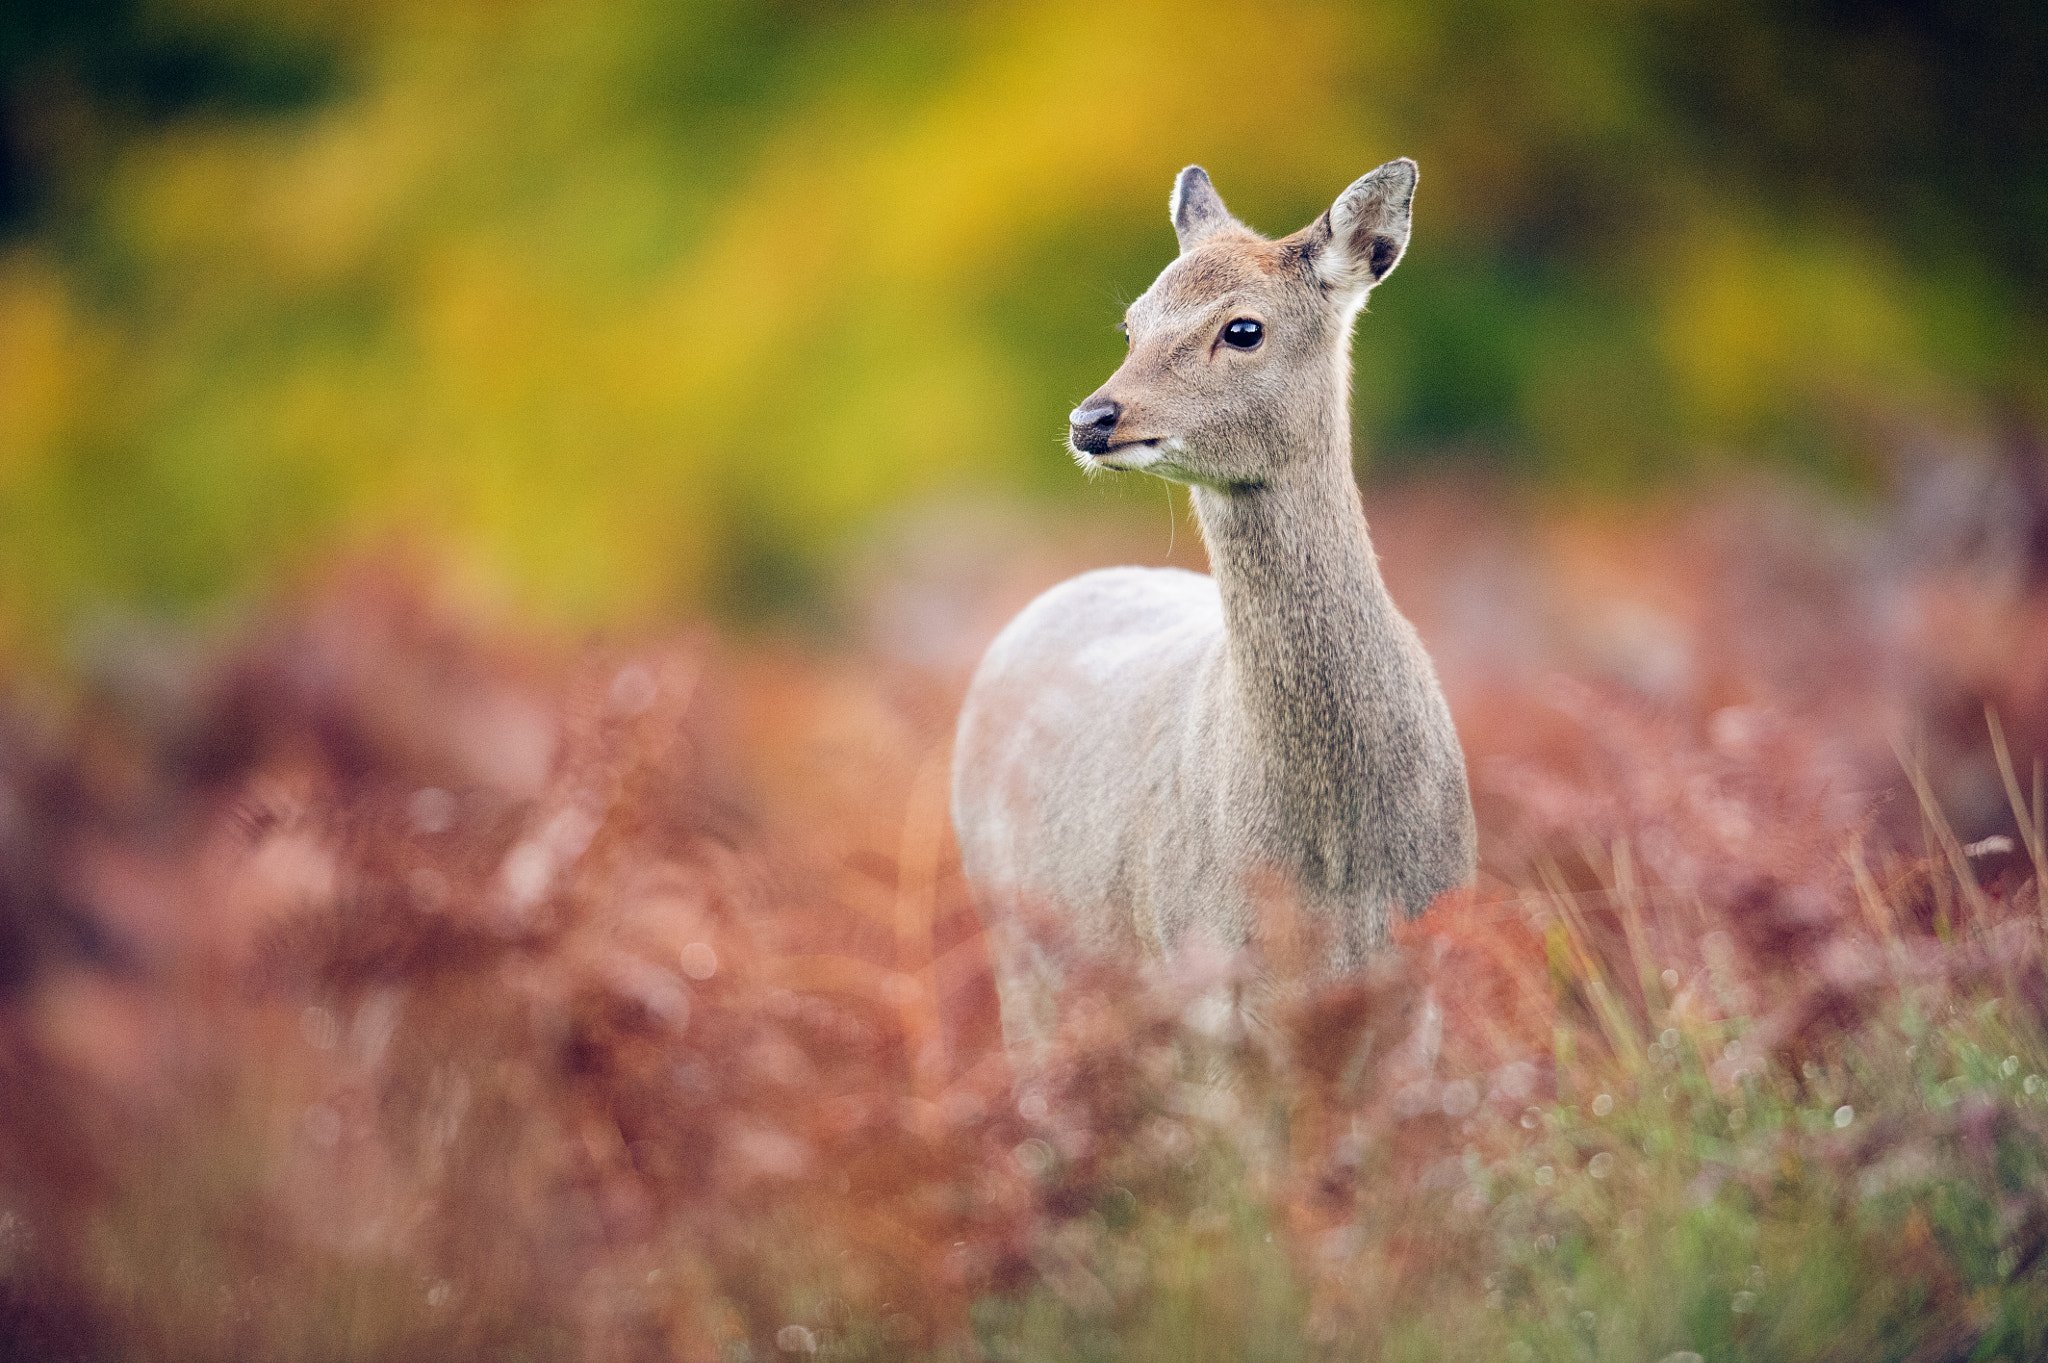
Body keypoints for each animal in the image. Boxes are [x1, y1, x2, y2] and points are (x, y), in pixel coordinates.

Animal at [950, 156, 1482, 1047]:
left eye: (1242, 329)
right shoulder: (1206, 991)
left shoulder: (1424, 991)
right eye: (1131, 326)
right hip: (1020, 949)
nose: (1092, 417)